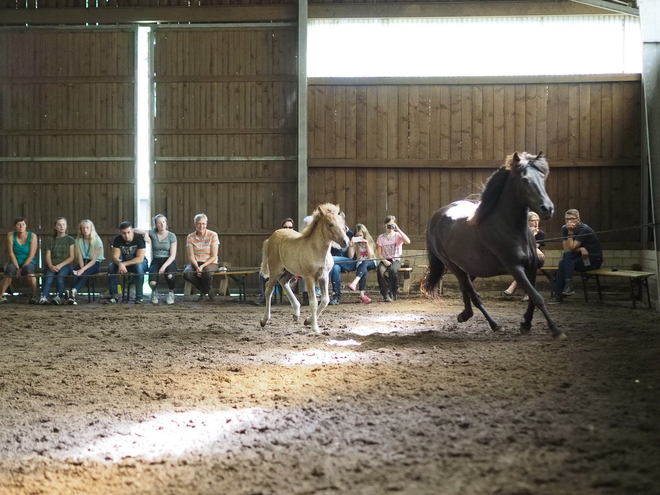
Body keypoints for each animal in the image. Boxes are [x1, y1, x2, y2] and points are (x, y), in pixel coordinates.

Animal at [426, 154, 564, 340]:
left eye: (542, 177)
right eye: (525, 180)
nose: (547, 209)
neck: (510, 227)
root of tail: (437, 216)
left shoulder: (532, 267)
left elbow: (532, 298)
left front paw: (526, 324)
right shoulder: (515, 267)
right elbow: (536, 297)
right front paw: (556, 330)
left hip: (467, 266)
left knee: (465, 288)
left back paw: (465, 315)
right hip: (451, 265)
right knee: (473, 294)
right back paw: (494, 325)